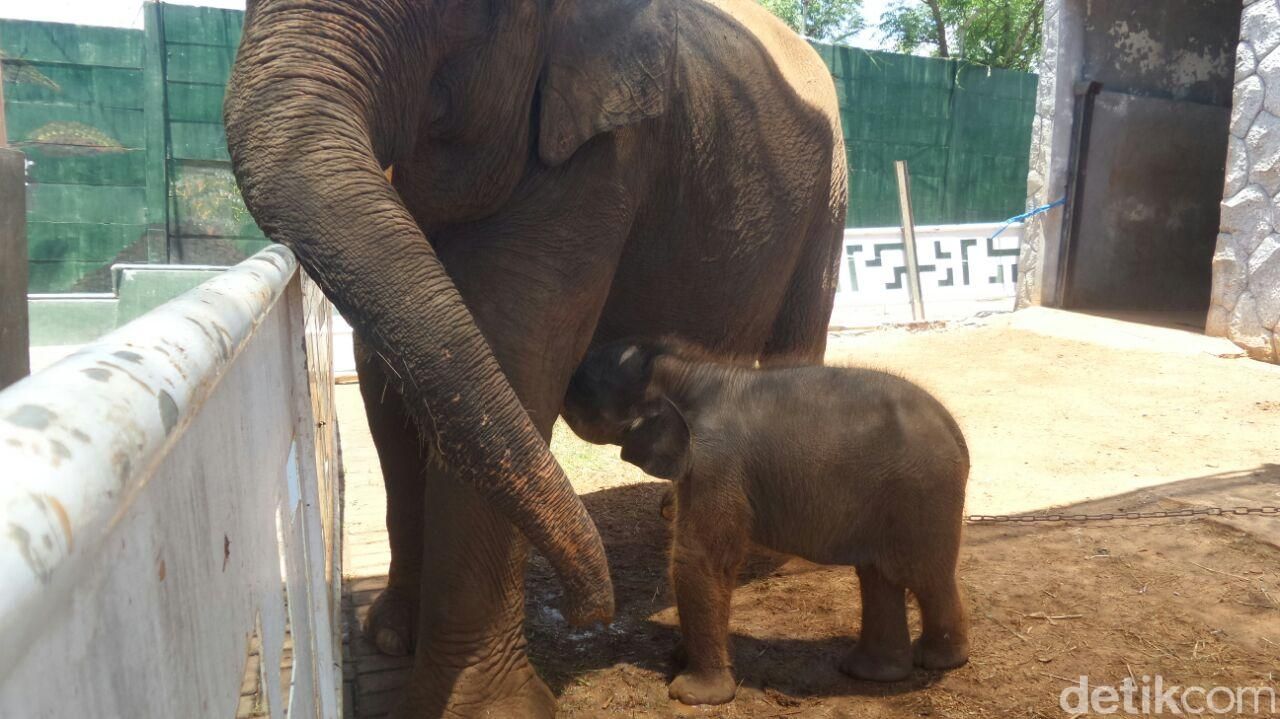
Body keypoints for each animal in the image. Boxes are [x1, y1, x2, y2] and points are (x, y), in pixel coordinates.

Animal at [227, 0, 849, 711]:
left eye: (470, 13)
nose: (595, 611)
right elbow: (387, 372)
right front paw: (389, 638)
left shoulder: (604, 154)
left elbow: (514, 351)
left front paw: (483, 710)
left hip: (828, 196)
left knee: (798, 340)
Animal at [560, 337, 967, 701]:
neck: (681, 370)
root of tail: (953, 428)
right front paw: (679, 657)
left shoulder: (716, 462)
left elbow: (700, 559)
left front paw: (691, 694)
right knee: (878, 576)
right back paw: (871, 672)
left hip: (922, 494)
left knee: (924, 576)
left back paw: (940, 661)